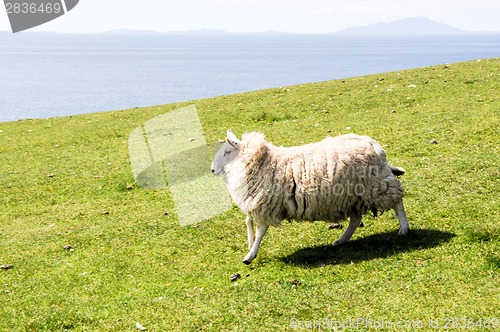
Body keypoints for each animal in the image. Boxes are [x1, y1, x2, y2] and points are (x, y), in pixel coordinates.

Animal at [211, 130, 410, 264]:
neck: (261, 163)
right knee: (356, 219)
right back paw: (340, 240)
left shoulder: (267, 204)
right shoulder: (257, 203)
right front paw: (250, 244)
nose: (212, 170)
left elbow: (260, 230)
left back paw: (404, 229)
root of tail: (375, 146)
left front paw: (250, 255)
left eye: (227, 152)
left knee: (397, 200)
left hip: (375, 185)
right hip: (354, 195)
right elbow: (248, 221)